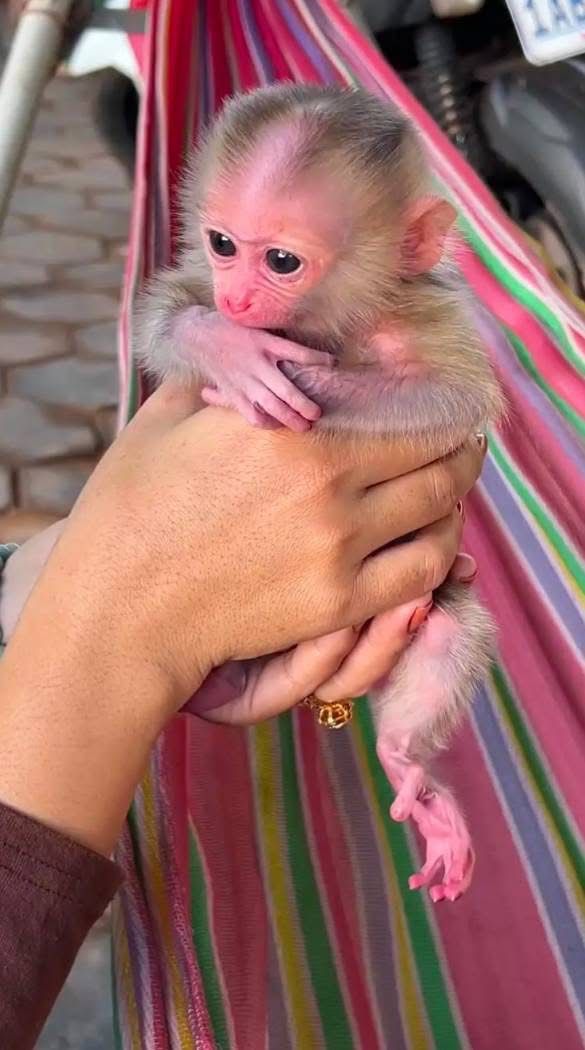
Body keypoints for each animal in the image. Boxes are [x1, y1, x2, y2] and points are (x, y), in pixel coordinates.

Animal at [135, 83, 504, 904]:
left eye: (280, 260)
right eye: (221, 244)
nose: (238, 301)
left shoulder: (425, 316)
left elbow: (448, 398)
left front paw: (294, 371)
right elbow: (162, 317)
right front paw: (223, 346)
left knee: (446, 638)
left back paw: (404, 759)